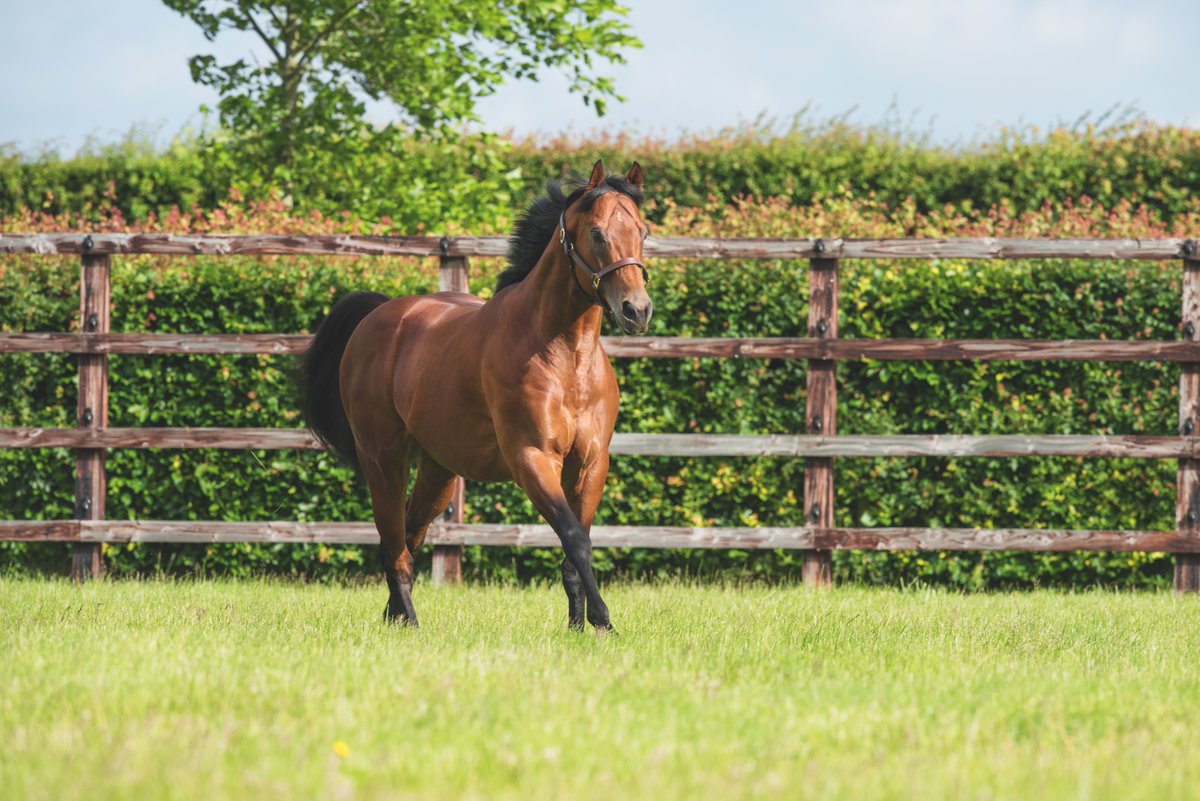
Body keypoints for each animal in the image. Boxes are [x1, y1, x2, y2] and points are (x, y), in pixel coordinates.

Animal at [304, 163, 652, 633]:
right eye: (597, 234)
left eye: (643, 232)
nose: (637, 310)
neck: (565, 357)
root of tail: (379, 315)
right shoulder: (531, 457)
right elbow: (575, 539)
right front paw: (603, 622)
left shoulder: (591, 463)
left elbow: (572, 549)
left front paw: (578, 628)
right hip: (384, 461)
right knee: (394, 545)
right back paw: (409, 622)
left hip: (439, 472)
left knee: (408, 537)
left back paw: (394, 617)